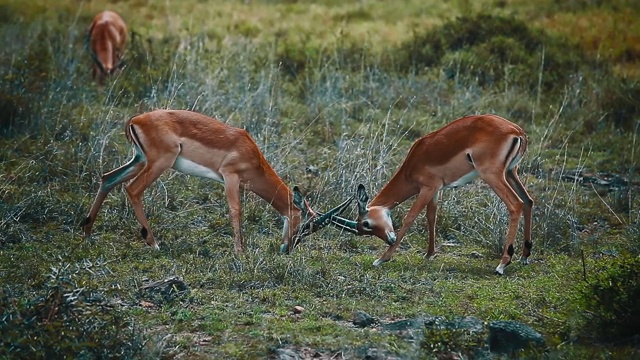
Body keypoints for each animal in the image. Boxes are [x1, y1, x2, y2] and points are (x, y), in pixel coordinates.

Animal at [82, 109, 352, 253]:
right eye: (305, 226)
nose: (287, 248)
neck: (252, 155)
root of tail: (135, 120)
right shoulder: (230, 178)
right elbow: (236, 210)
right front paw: (240, 252)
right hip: (159, 163)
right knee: (132, 189)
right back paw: (154, 243)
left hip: (139, 160)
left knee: (108, 178)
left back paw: (87, 232)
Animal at [330, 115, 536, 276]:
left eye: (366, 223)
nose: (390, 239)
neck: (413, 163)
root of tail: (517, 131)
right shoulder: (436, 190)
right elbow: (431, 217)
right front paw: (429, 254)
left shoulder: (427, 188)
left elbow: (410, 217)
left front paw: (382, 258)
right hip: (511, 172)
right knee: (528, 201)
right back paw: (524, 256)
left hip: (492, 175)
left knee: (515, 204)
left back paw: (502, 264)